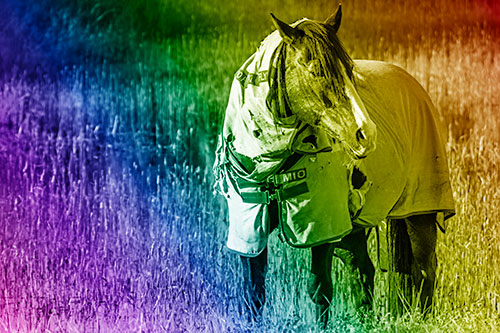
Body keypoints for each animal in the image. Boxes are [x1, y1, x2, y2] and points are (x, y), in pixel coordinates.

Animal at [213, 4, 456, 326]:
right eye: (316, 70)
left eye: (350, 70)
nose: (366, 133)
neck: (273, 160)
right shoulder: (250, 225)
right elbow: (253, 291)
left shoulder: (322, 226)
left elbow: (319, 288)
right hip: (354, 229)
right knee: (363, 269)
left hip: (419, 212)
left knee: (425, 268)